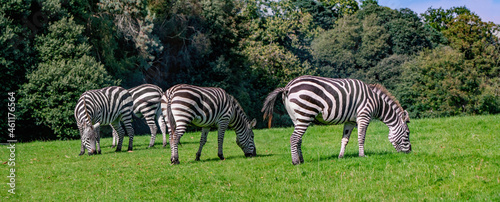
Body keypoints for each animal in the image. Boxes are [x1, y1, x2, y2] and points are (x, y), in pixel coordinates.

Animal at [262, 75, 410, 165]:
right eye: (408, 133)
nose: (410, 152)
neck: (376, 102)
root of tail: (288, 86)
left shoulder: (350, 121)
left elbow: (345, 139)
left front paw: (341, 156)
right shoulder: (364, 116)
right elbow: (361, 137)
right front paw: (362, 155)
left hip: (296, 117)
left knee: (298, 138)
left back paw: (302, 160)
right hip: (305, 114)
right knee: (294, 138)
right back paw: (295, 162)